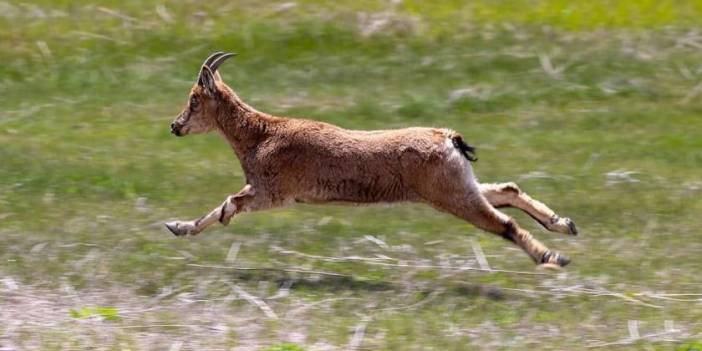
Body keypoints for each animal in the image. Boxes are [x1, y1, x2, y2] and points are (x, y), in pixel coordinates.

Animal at [168, 51, 580, 266]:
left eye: (194, 99)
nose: (175, 126)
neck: (261, 134)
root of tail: (449, 139)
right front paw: (177, 227)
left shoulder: (271, 193)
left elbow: (229, 204)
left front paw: (187, 224)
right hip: (461, 185)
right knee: (507, 190)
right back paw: (564, 224)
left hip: (451, 195)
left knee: (504, 223)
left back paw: (552, 256)